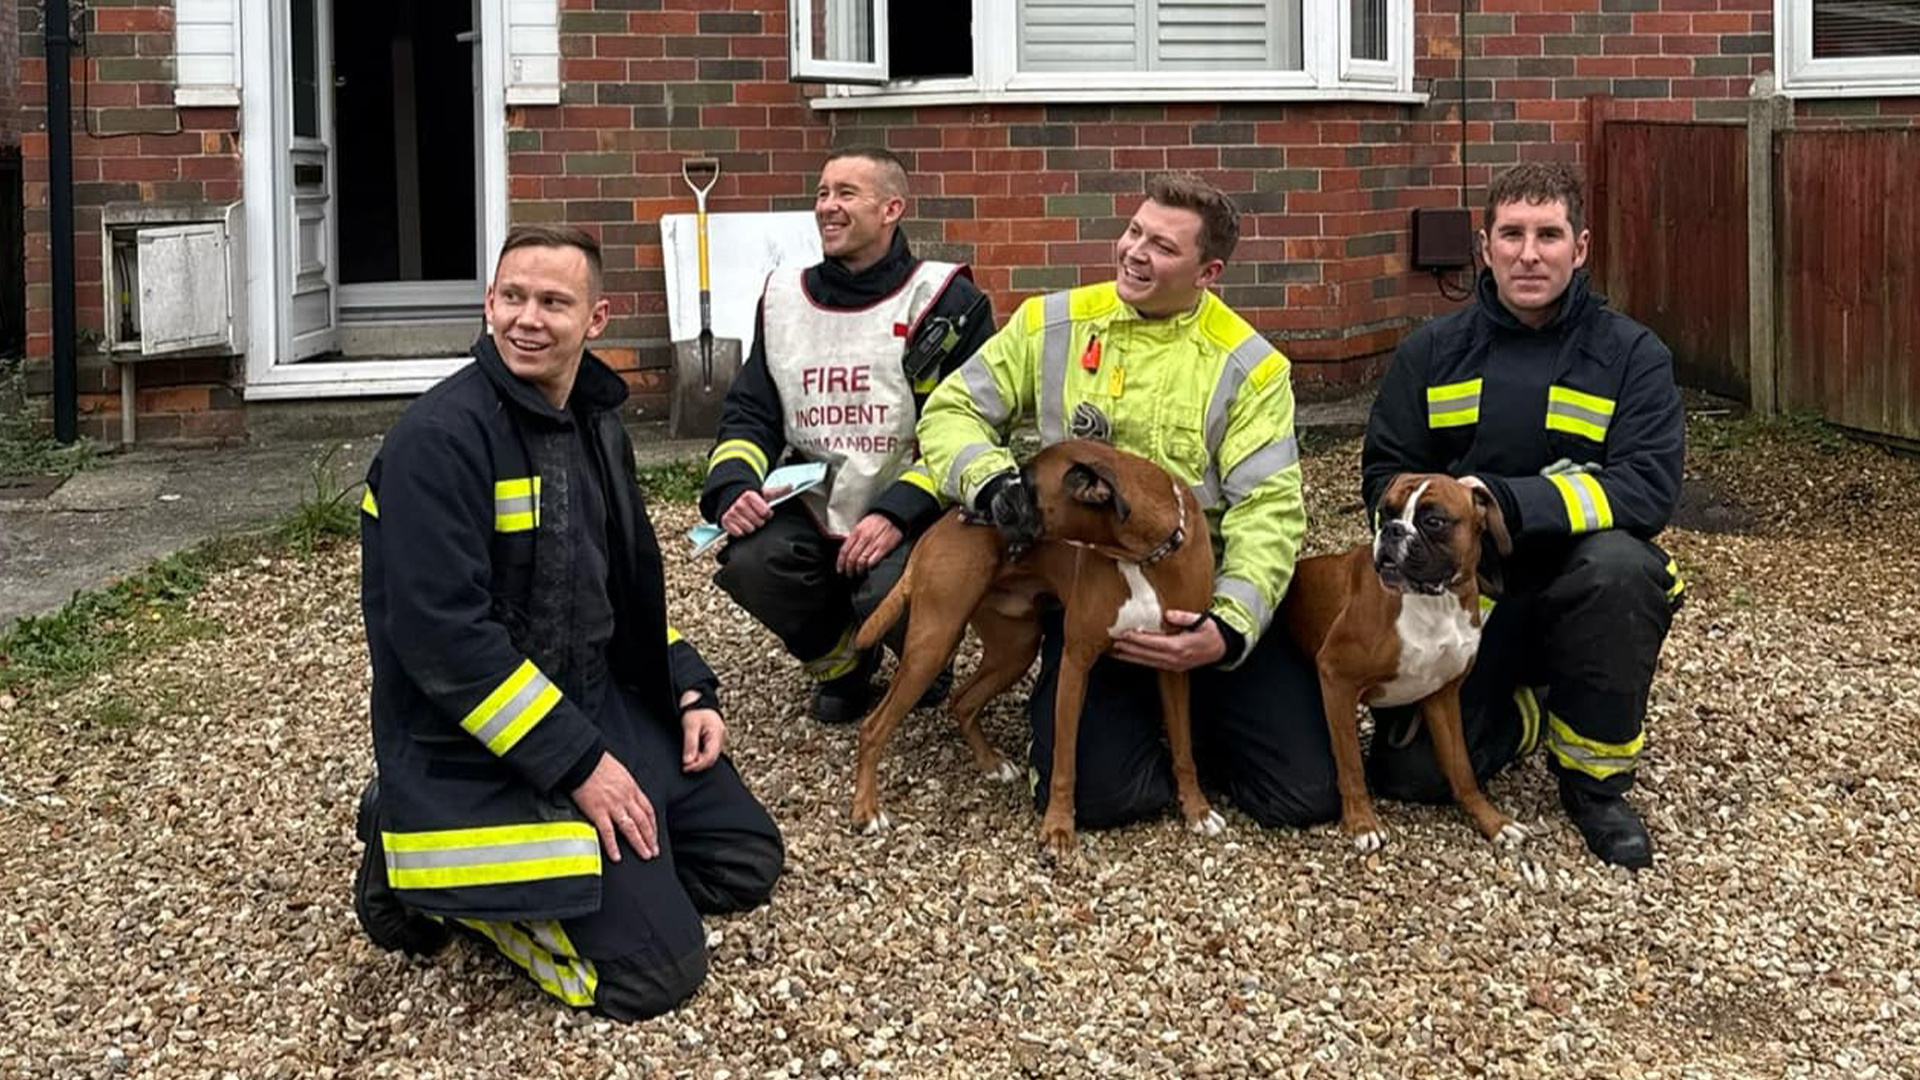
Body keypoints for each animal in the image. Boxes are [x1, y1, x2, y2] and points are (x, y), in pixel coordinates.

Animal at [848, 438, 1221, 857]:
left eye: (1026, 486)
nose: (991, 498)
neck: (1144, 555)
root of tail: (934, 531)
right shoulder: (1075, 664)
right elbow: (1064, 759)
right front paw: (1058, 827)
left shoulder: (1174, 663)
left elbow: (1184, 747)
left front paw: (1197, 809)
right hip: (933, 645)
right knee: (873, 727)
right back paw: (866, 809)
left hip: (1014, 650)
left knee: (962, 700)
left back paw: (990, 763)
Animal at [1282, 470, 1520, 849]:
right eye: (1386, 512)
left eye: (1434, 521)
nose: (1392, 529)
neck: (1435, 604)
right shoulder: (1337, 678)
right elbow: (1350, 761)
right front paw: (1362, 822)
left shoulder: (1442, 696)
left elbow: (1461, 767)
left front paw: (1492, 820)